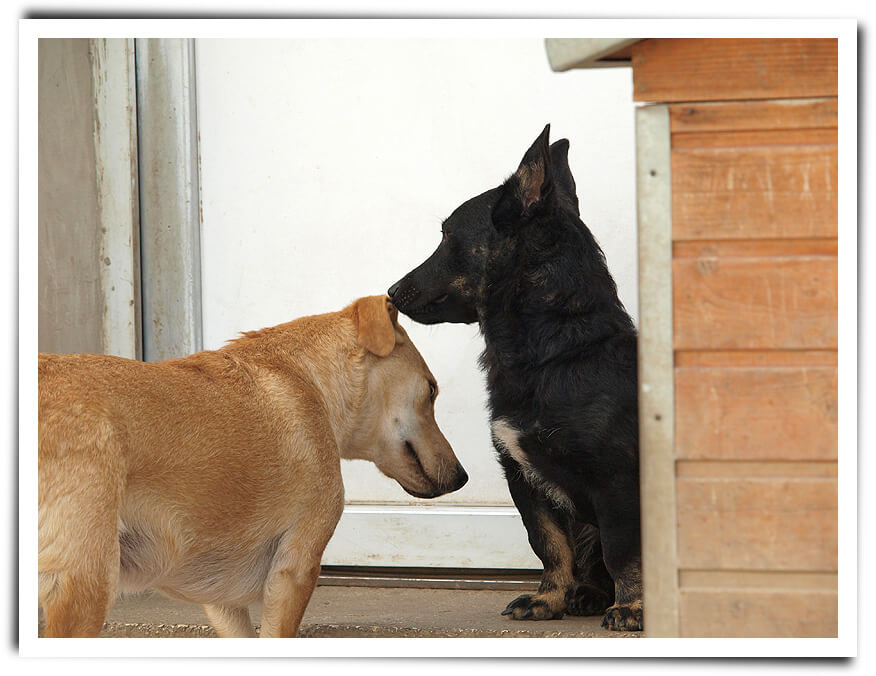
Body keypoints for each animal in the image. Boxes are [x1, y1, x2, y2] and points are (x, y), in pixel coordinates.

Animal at [38, 295, 468, 637]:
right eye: (432, 390)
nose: (463, 477)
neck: (309, 381)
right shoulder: (294, 570)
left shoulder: (222, 600)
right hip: (84, 585)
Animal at [388, 126, 641, 631]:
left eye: (447, 235)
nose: (390, 291)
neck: (557, 349)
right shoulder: (523, 478)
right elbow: (549, 545)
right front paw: (548, 598)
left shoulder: (618, 481)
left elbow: (623, 551)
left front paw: (631, 607)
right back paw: (585, 593)